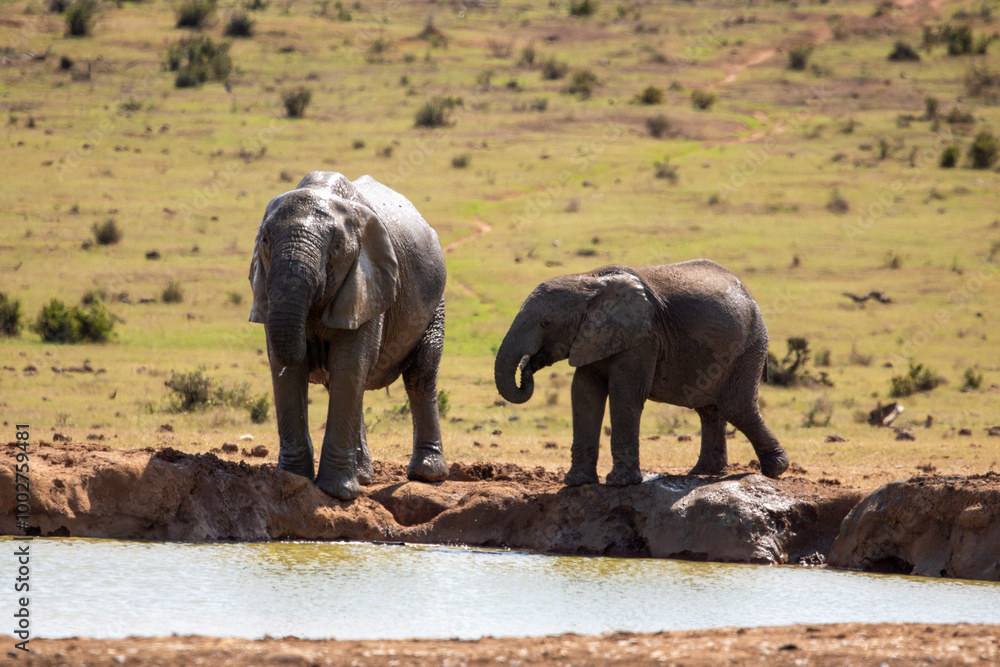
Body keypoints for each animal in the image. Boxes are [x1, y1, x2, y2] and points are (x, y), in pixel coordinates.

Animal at [249, 171, 448, 500]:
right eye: (264, 240)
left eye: (337, 248)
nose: (312, 345)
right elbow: (287, 369)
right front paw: (293, 480)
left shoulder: (369, 282)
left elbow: (349, 363)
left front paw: (337, 494)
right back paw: (363, 476)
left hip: (436, 302)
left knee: (420, 373)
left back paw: (426, 475)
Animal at [494, 260, 789, 486]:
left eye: (546, 323)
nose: (528, 365)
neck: (588, 281)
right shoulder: (592, 337)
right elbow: (584, 393)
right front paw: (576, 482)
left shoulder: (643, 337)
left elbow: (625, 394)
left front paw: (620, 483)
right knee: (709, 410)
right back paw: (703, 472)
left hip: (749, 347)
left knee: (735, 406)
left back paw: (776, 469)